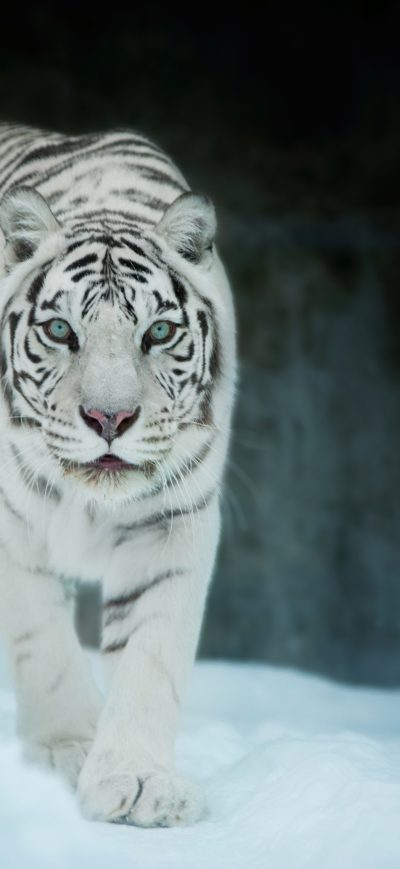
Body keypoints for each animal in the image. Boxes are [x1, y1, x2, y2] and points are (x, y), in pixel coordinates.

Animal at [0, 123, 236, 827]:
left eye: (157, 333)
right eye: (59, 330)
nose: (111, 417)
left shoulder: (171, 521)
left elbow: (150, 657)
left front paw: (137, 781)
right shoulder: (10, 523)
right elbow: (42, 642)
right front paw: (66, 750)